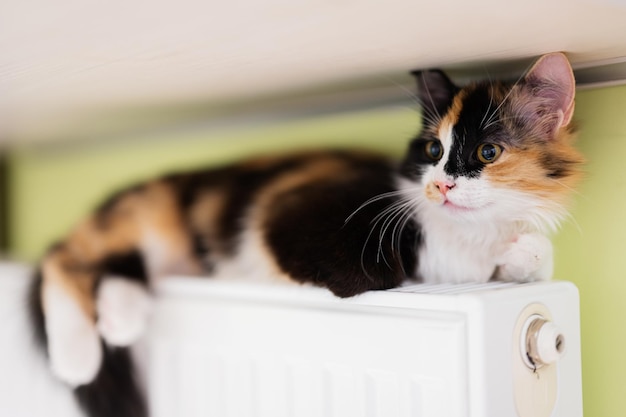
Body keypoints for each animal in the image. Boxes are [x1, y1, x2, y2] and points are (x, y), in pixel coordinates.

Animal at [28, 52, 580, 416]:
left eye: (487, 153)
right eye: (432, 150)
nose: (441, 184)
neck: (472, 232)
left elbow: (537, 253)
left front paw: (520, 253)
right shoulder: (298, 215)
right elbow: (385, 269)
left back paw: (121, 318)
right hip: (148, 218)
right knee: (63, 256)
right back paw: (76, 354)